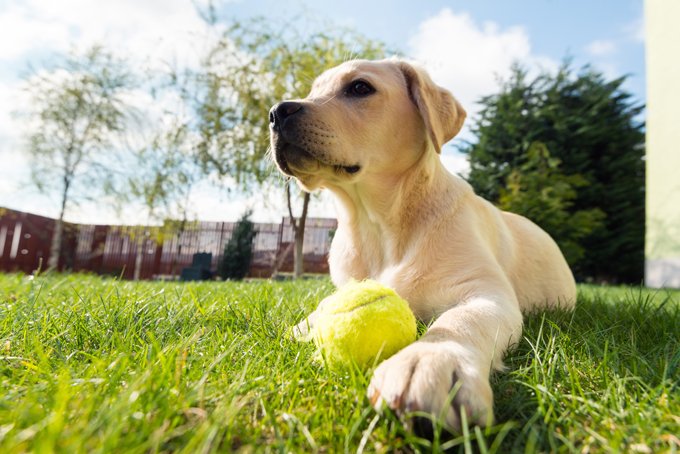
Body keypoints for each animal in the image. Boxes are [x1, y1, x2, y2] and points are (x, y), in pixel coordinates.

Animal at [268, 59, 576, 430]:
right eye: (313, 91)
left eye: (359, 87)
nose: (276, 112)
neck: (376, 222)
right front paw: (303, 325)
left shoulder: (486, 292)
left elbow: (458, 322)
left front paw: (429, 361)